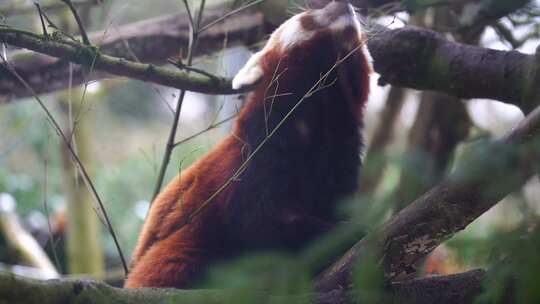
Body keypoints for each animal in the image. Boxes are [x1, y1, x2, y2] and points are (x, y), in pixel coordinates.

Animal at [125, 1, 372, 288]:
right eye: (308, 17)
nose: (343, 4)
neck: (319, 116)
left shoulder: (342, 155)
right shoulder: (254, 154)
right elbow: (259, 223)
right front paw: (342, 234)